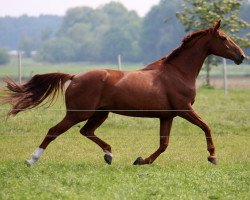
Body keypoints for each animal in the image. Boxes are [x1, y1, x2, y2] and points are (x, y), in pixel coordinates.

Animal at [1, 20, 245, 166]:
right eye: (223, 38)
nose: (241, 56)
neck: (177, 72)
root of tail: (75, 76)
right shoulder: (184, 109)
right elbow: (206, 126)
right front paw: (212, 156)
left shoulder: (167, 116)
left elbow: (163, 144)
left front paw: (141, 160)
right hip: (78, 113)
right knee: (54, 131)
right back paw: (32, 160)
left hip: (100, 113)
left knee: (86, 131)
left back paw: (109, 154)